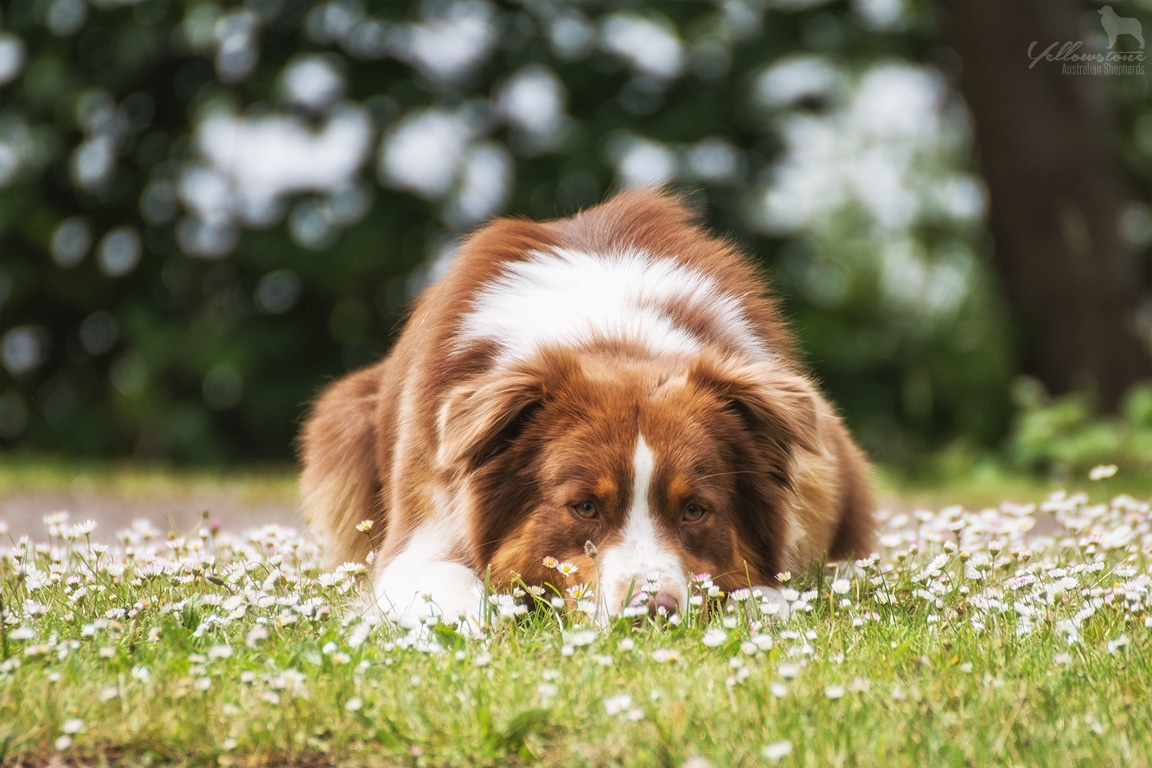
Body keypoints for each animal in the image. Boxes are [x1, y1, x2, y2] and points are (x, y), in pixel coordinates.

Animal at [297, 188, 870, 626]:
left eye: (695, 510)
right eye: (585, 507)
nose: (653, 612)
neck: (609, 332)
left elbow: (762, 591)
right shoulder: (422, 523)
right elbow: (446, 578)